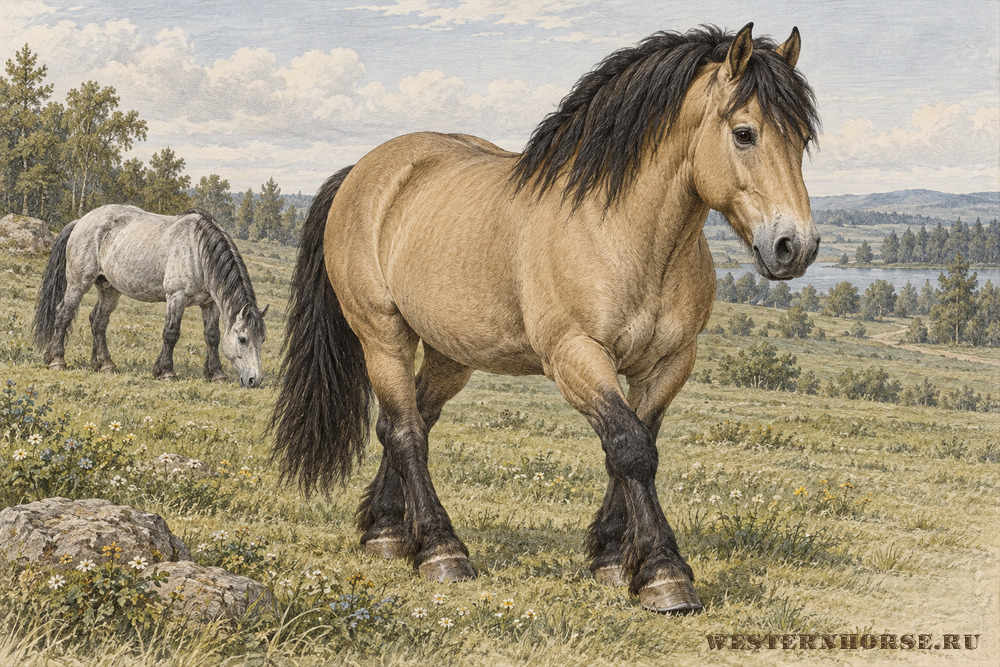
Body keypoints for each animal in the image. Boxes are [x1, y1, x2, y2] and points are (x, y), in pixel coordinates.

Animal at [33, 206, 268, 387]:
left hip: (109, 288)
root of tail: (81, 220)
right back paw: (57, 360)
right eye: (243, 339)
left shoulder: (209, 304)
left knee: (98, 321)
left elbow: (212, 337)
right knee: (63, 314)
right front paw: (166, 372)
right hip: (78, 283)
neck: (198, 250)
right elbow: (171, 333)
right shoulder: (176, 297)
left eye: (262, 339)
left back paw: (105, 364)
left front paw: (217, 374)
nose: (254, 380)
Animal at [271, 23, 820, 613]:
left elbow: (634, 444)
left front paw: (611, 557)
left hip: (450, 352)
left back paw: (388, 531)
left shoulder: (669, 363)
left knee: (411, 419)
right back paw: (441, 550)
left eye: (801, 140)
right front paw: (663, 575)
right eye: (745, 134)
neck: (621, 233)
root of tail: (365, 171)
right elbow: (630, 448)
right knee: (405, 430)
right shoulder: (575, 355)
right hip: (382, 333)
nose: (795, 247)